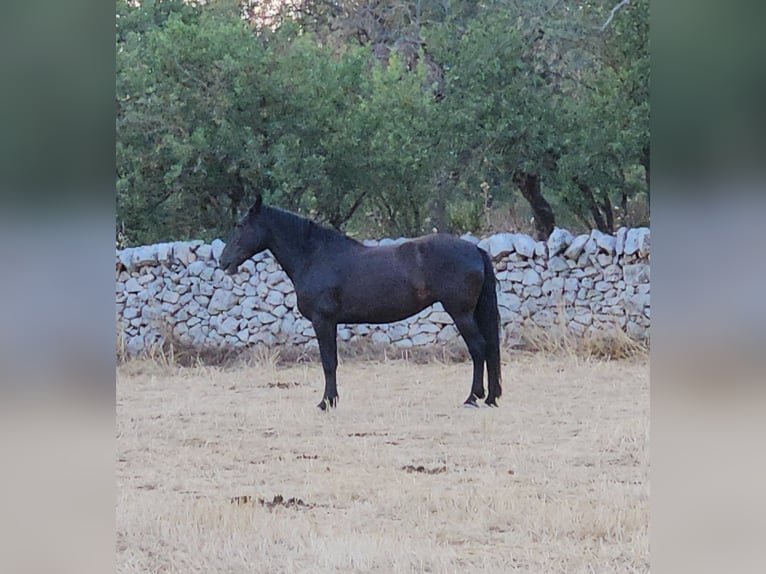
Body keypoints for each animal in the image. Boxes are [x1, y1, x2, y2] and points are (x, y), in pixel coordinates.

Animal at [220, 196, 504, 412]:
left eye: (241, 225)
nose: (223, 261)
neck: (314, 256)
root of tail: (475, 250)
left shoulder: (323, 321)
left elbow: (328, 362)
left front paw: (326, 402)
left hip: (461, 313)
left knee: (479, 348)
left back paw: (473, 397)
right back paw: (490, 397)